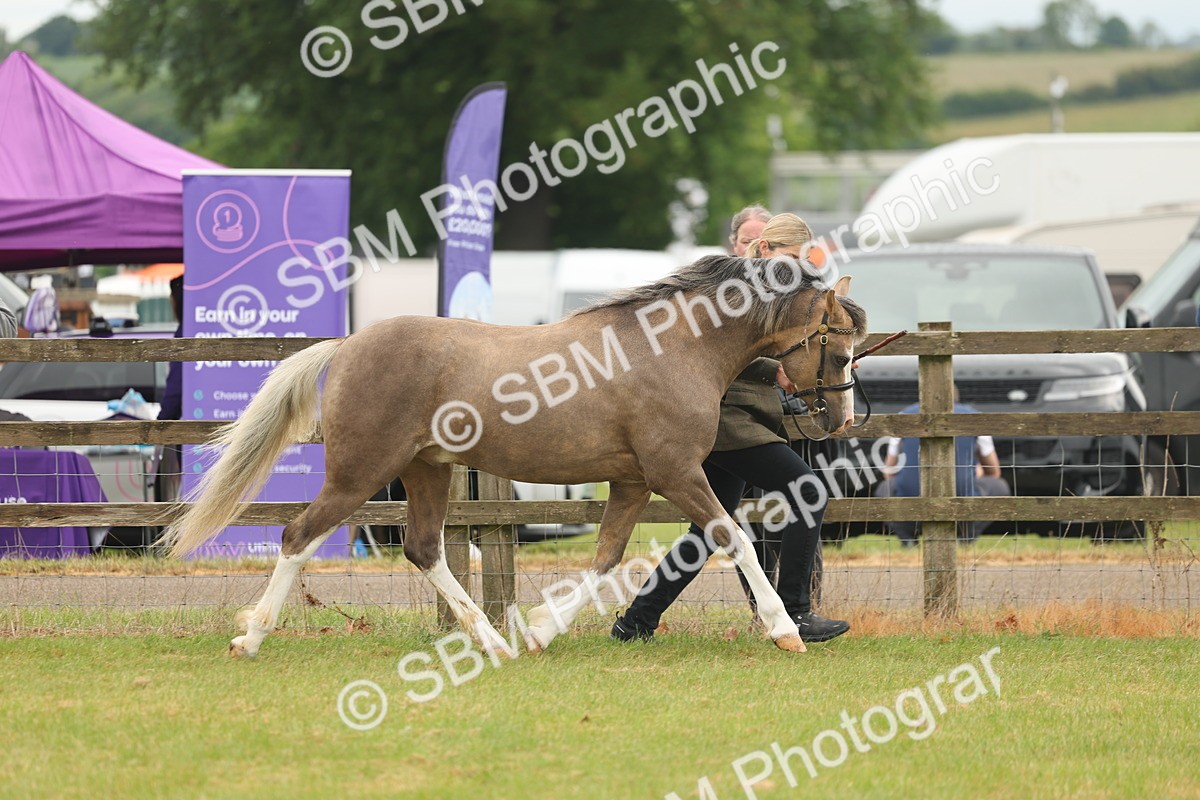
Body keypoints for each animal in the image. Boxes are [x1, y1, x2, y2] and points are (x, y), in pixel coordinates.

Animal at [161, 254, 868, 658]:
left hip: (428, 469)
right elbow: (734, 539)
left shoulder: (633, 483)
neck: (671, 348)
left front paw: (540, 631)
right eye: (837, 348)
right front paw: (784, 630)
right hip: (360, 472)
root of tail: (349, 344)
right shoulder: (676, 473)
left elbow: (605, 559)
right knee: (297, 535)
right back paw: (250, 637)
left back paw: (495, 640)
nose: (840, 420)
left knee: (424, 548)